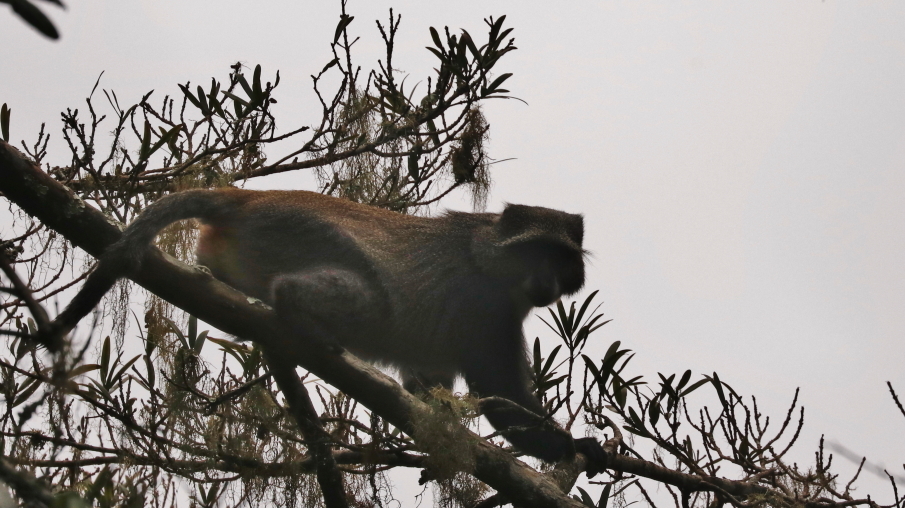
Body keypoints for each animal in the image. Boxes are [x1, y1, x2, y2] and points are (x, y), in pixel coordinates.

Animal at [53, 189, 608, 470]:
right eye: (538, 253)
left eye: (561, 260)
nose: (546, 283)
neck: (488, 250)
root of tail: (246, 196)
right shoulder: (485, 310)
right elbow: (502, 400)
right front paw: (574, 447)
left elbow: (424, 383)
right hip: (298, 236)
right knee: (361, 301)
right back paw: (295, 311)